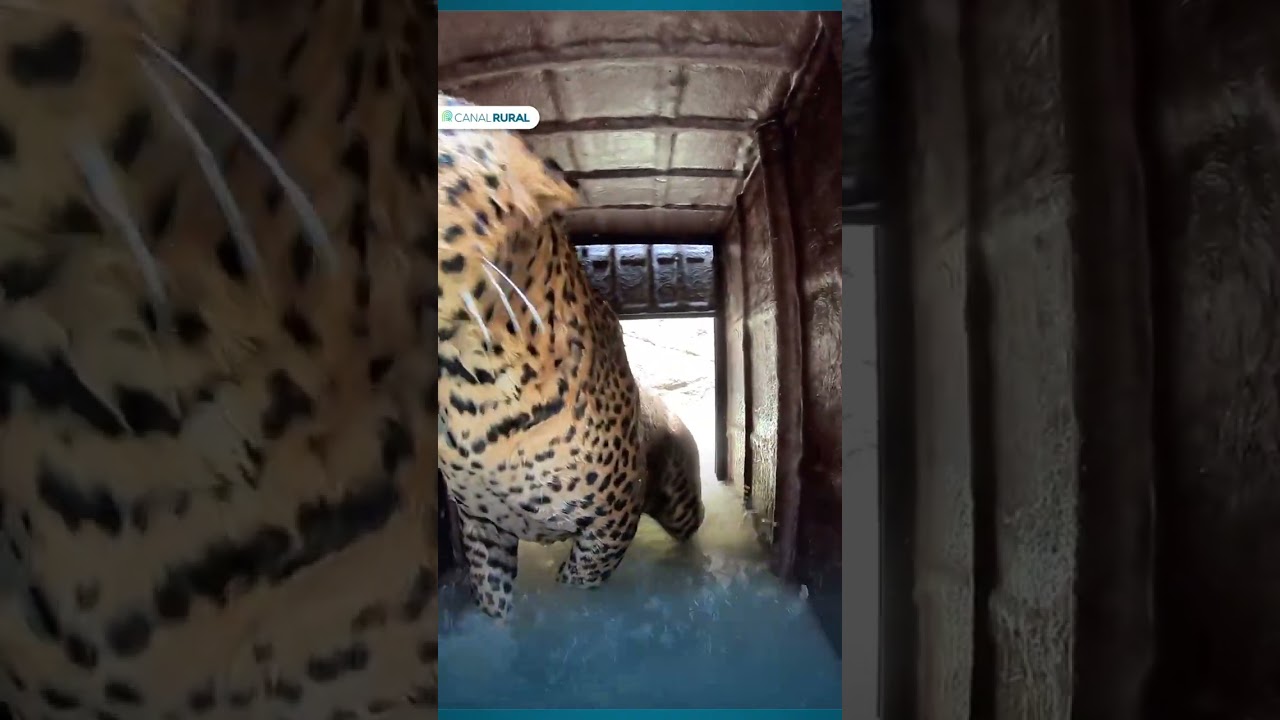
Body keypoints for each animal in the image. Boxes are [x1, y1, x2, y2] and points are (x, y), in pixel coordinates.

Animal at [436, 92, 707, 620]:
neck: (469, 382)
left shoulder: (610, 523)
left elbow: (576, 588)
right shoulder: (480, 527)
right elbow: (494, 604)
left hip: (679, 499)